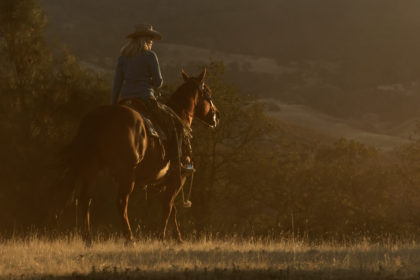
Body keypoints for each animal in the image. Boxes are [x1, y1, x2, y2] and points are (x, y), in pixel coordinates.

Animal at [59, 68, 220, 245]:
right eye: (208, 93)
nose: (217, 116)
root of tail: (101, 116)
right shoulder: (177, 179)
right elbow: (168, 206)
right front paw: (163, 237)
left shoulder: (158, 182)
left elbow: (171, 209)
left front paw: (176, 237)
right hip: (126, 174)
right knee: (121, 203)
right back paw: (129, 238)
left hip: (91, 169)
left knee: (85, 199)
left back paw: (88, 239)